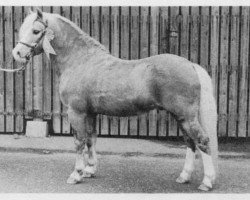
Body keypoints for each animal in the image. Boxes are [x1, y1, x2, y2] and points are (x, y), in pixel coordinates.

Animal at [12, 8, 218, 191]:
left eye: (35, 31)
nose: (17, 54)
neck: (80, 61)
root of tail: (190, 65)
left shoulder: (76, 112)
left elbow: (79, 142)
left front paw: (76, 174)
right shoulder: (90, 113)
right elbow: (91, 139)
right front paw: (90, 170)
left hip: (186, 117)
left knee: (202, 141)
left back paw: (206, 182)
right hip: (180, 117)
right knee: (190, 143)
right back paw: (184, 176)